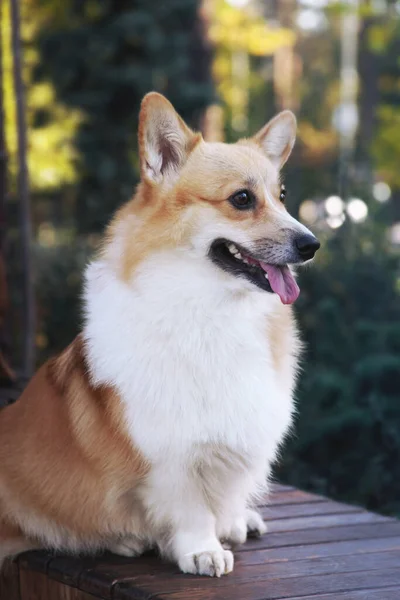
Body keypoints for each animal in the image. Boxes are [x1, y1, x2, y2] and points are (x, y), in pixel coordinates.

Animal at [0, 92, 318, 576]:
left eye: (281, 197)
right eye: (242, 199)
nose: (312, 244)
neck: (213, 306)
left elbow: (227, 488)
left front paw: (233, 521)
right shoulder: (171, 452)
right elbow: (190, 505)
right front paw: (202, 549)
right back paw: (127, 540)